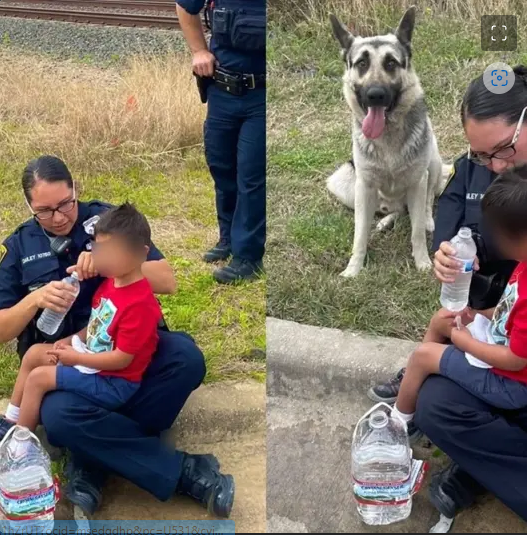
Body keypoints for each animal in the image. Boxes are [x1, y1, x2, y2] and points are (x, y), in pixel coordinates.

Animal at [330, 6, 446, 278]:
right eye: (361, 63)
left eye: (391, 63)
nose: (375, 95)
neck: (388, 135)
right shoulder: (364, 187)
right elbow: (359, 236)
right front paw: (354, 268)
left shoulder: (417, 182)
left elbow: (416, 231)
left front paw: (422, 262)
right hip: (342, 183)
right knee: (393, 211)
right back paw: (384, 220)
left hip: (433, 163)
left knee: (423, 204)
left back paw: (425, 220)